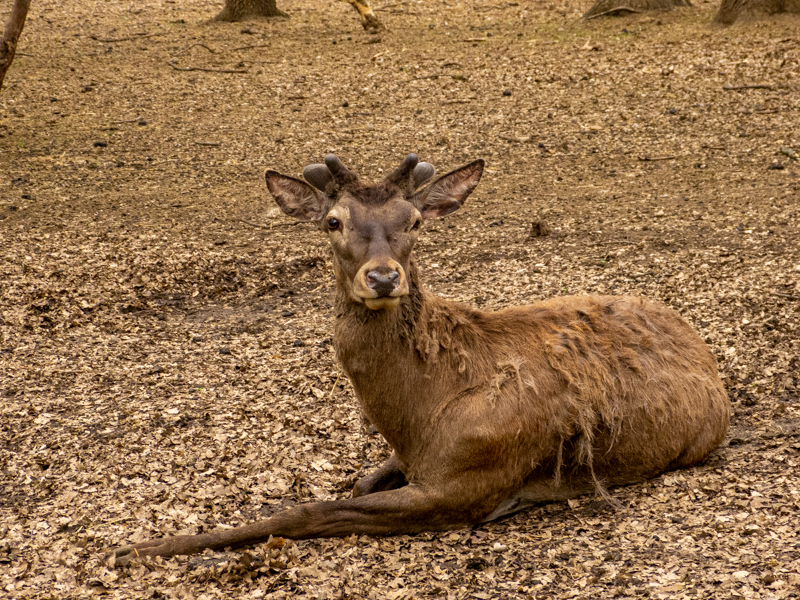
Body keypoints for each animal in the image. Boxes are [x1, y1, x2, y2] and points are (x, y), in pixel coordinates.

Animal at [111, 154, 729, 565]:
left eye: (413, 220)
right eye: (332, 221)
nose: (383, 277)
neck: (419, 415)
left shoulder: (465, 484)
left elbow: (307, 511)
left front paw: (141, 547)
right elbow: (357, 483)